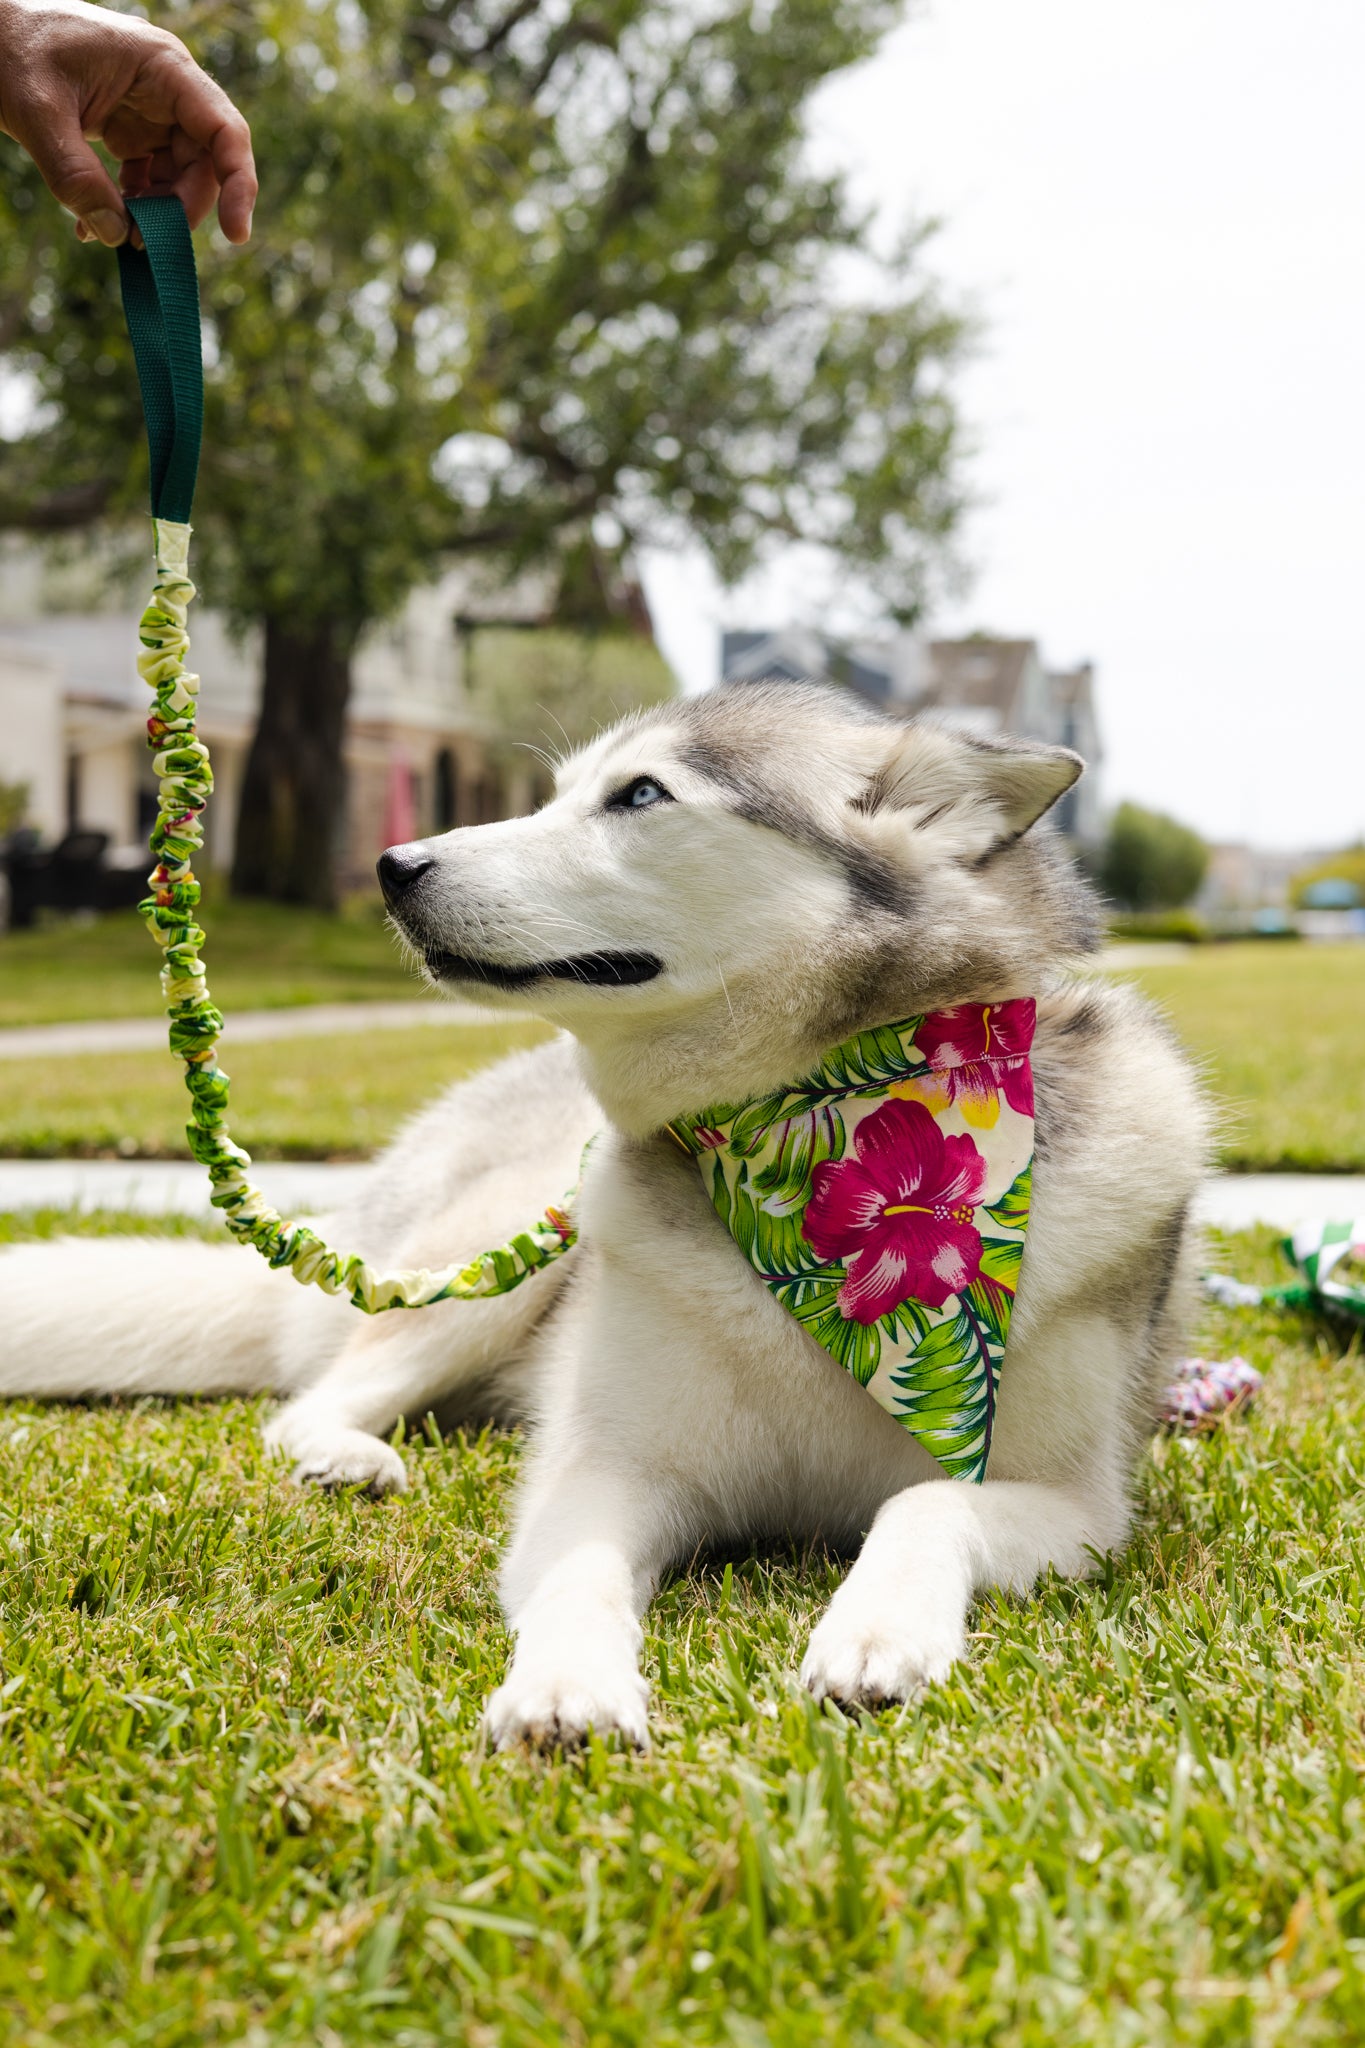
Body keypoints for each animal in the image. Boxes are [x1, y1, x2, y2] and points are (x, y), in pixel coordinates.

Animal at [0, 684, 1203, 1744]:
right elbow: (578, 1574)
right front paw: (567, 1684)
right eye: (558, 791)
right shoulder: (601, 1475)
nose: (394, 866)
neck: (813, 1154)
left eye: (639, 794)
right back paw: (346, 1453)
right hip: (506, 1251)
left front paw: (878, 1633)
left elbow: (926, 1506)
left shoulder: (1077, 1512)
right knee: (317, 1393)